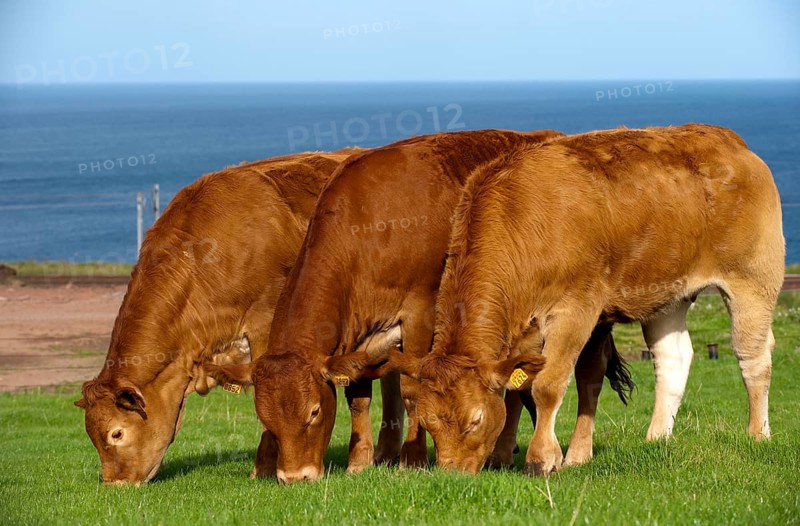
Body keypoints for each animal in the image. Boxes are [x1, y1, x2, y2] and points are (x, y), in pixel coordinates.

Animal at [389, 124, 785, 475]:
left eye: (475, 420)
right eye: (428, 423)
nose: (450, 475)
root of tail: (729, 140)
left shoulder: (575, 309)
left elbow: (548, 385)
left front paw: (542, 460)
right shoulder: (532, 329)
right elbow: (537, 386)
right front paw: (546, 456)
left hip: (752, 280)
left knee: (753, 356)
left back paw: (757, 434)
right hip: (670, 294)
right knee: (672, 358)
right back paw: (657, 438)